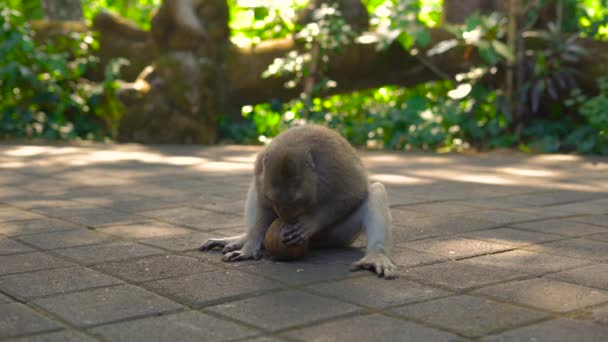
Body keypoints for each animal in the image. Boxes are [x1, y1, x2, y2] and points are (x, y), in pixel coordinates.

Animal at [200, 124, 400, 280]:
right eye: (275, 201)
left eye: (298, 201)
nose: (284, 218)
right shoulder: (260, 171)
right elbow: (262, 204)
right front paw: (248, 247)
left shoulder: (336, 166)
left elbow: (354, 193)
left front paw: (310, 222)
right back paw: (243, 239)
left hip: (337, 236)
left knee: (376, 191)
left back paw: (376, 255)